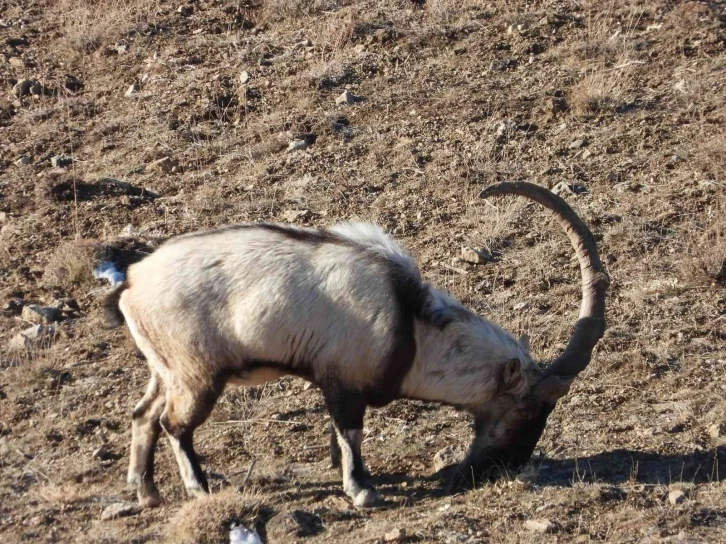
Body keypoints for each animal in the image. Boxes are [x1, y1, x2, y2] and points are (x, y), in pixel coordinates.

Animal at [106, 183, 608, 510]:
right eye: (525, 410)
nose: (503, 467)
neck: (411, 326)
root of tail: (131, 283)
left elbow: (338, 436)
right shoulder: (343, 383)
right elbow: (351, 432)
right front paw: (362, 490)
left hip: (165, 369)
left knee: (143, 414)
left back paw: (147, 492)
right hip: (196, 375)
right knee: (174, 423)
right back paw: (198, 490)